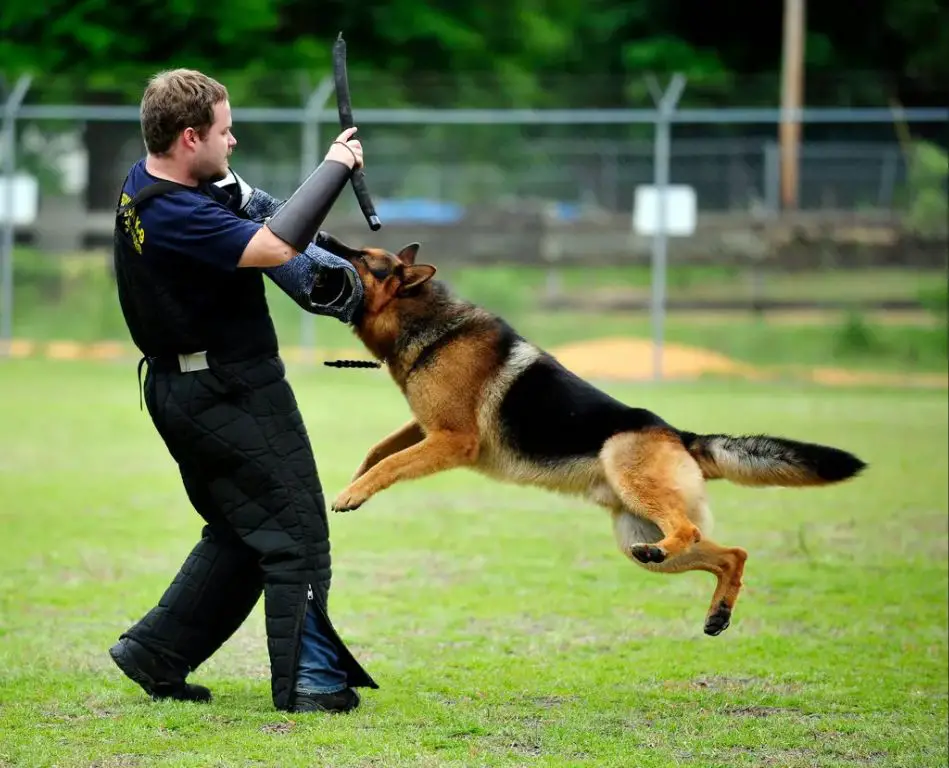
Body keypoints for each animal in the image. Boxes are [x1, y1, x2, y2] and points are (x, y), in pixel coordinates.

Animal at [322, 237, 864, 632]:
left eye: (364, 257)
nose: (324, 236)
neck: (428, 322)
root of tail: (680, 435)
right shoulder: (425, 427)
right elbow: (379, 451)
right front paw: (352, 484)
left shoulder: (452, 439)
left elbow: (392, 462)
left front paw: (352, 494)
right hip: (635, 534)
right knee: (732, 554)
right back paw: (718, 613)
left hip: (630, 476)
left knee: (690, 533)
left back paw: (685, 565)